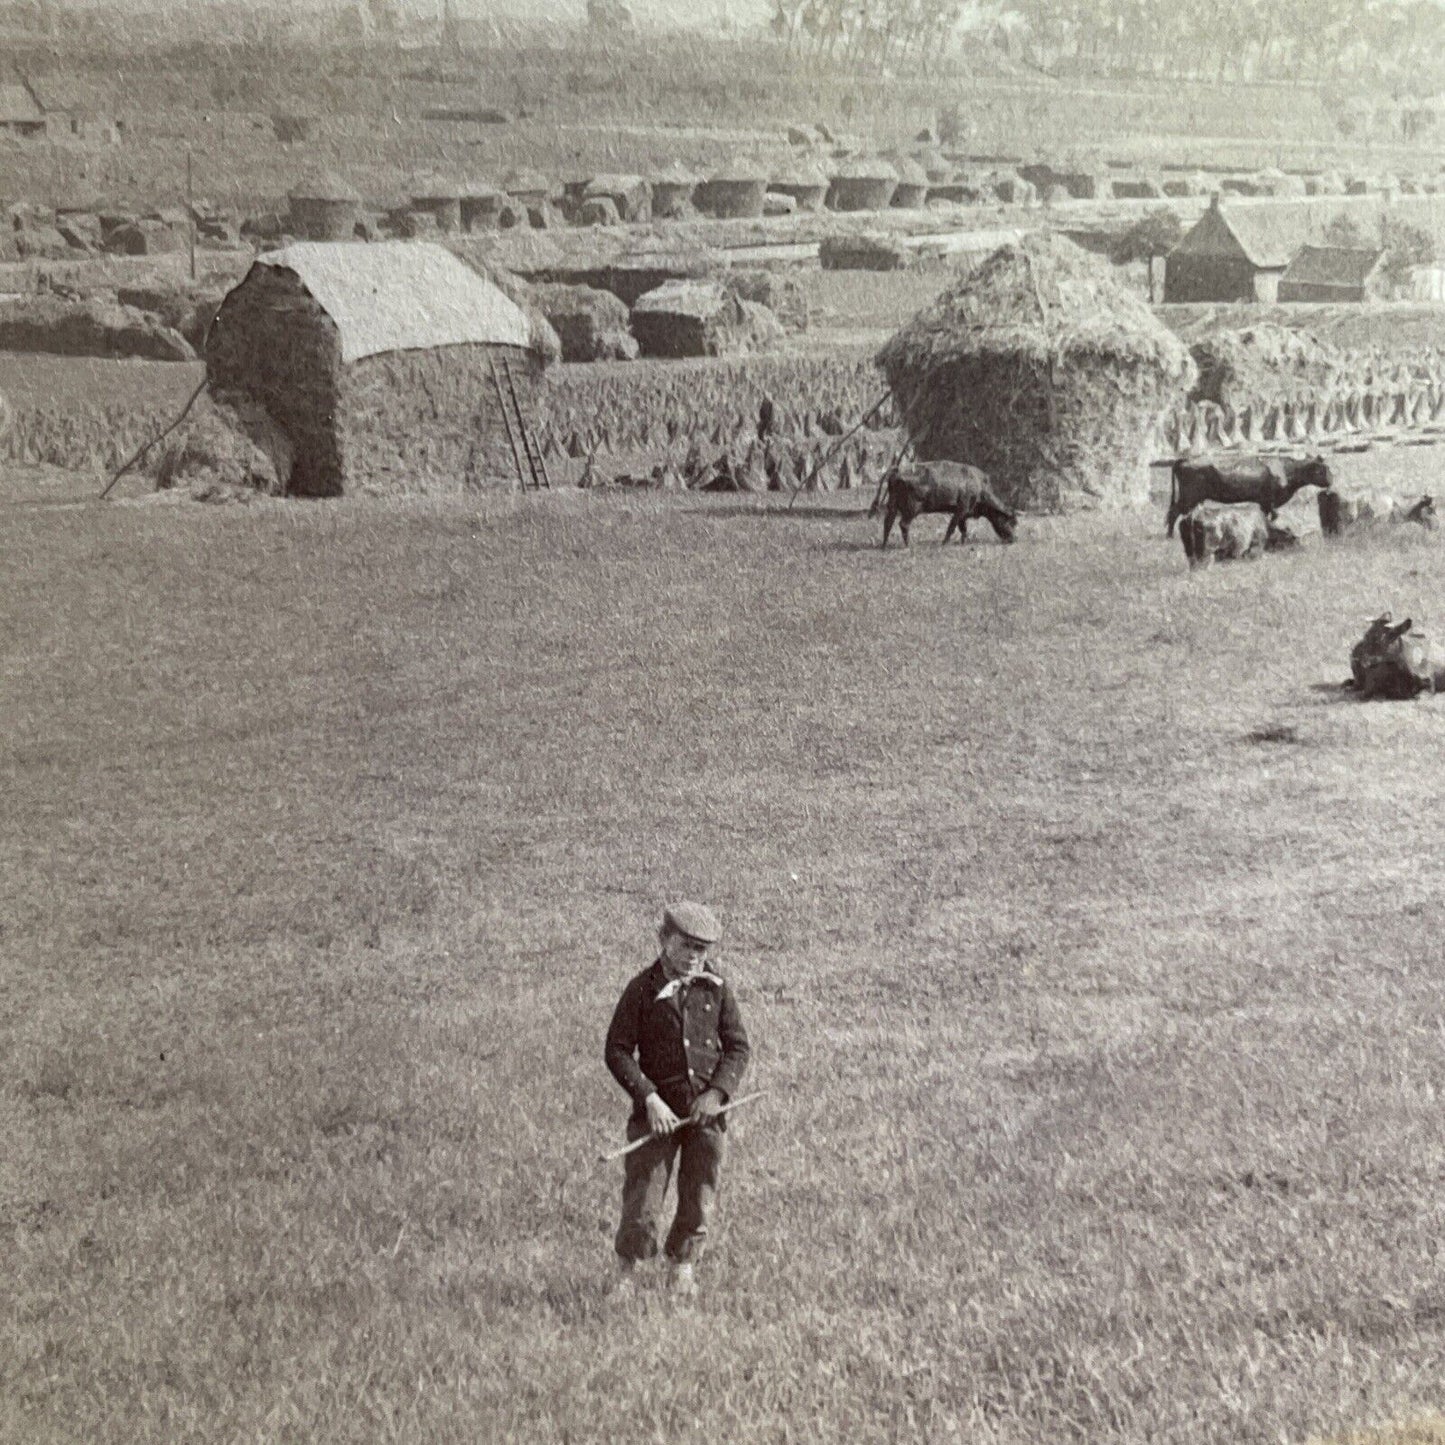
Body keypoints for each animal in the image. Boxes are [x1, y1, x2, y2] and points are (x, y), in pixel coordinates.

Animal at [872, 465, 1023, 549]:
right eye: (1010, 521)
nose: (1014, 539)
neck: (980, 487)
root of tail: (897, 470)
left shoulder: (962, 514)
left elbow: (963, 529)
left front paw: (963, 543)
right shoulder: (960, 510)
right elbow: (952, 527)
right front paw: (944, 543)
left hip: (893, 506)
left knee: (888, 522)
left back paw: (884, 546)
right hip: (912, 509)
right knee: (903, 524)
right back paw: (909, 545)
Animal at [1161, 450, 1329, 537]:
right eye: (1322, 469)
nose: (1330, 481)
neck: (1285, 469)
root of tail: (1184, 459)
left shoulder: (1264, 503)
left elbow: (1267, 516)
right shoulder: (1270, 501)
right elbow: (1274, 516)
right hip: (1189, 497)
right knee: (1173, 512)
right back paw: (1170, 536)